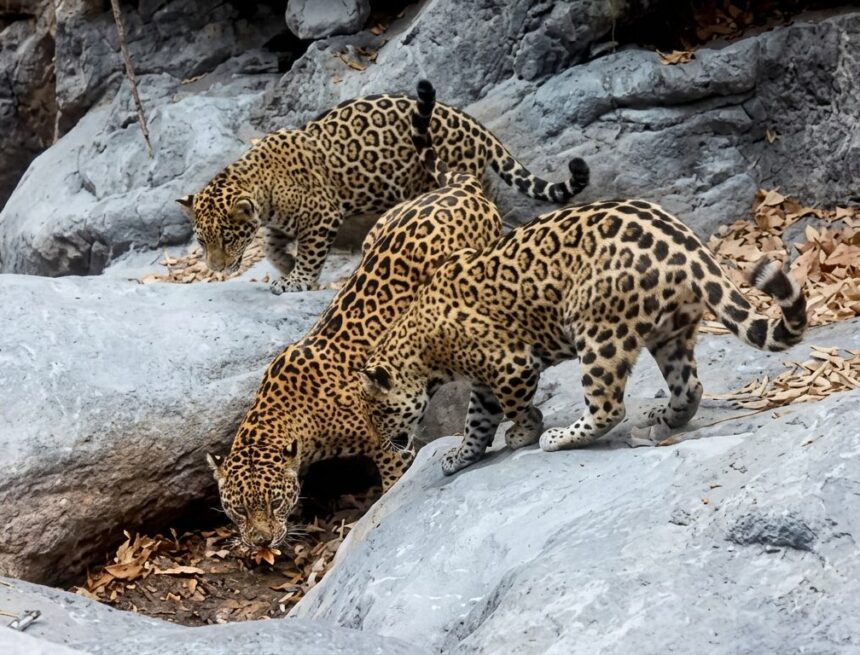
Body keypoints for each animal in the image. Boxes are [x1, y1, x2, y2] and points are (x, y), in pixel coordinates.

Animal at [176, 84, 589, 295]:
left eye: (228, 238)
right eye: (202, 241)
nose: (215, 268)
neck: (260, 186)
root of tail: (477, 126)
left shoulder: (323, 216)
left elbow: (309, 253)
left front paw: (299, 280)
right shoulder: (278, 223)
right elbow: (274, 248)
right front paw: (286, 269)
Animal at [205, 81, 561, 548]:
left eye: (275, 502)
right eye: (237, 509)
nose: (261, 542)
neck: (294, 417)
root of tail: (461, 186)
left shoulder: (386, 439)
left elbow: (393, 475)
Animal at [358, 94, 806, 475]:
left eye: (379, 414)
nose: (388, 444)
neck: (421, 346)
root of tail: (689, 247)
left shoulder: (511, 365)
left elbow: (513, 407)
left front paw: (525, 432)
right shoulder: (486, 378)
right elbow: (477, 421)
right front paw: (459, 456)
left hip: (598, 330)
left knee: (609, 407)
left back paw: (561, 438)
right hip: (670, 330)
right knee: (689, 387)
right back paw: (661, 420)